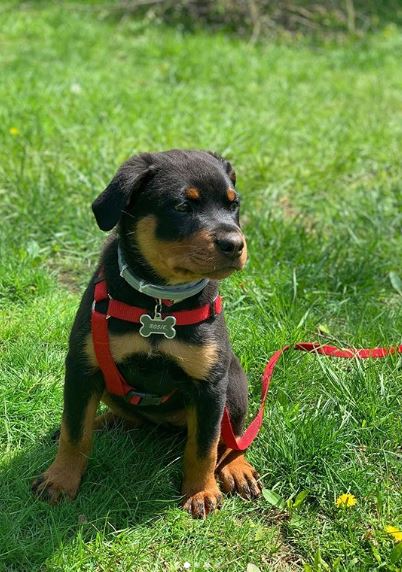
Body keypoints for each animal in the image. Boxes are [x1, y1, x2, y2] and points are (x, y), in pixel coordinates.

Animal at [33, 150, 262, 516]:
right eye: (182, 206)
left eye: (234, 204)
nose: (235, 244)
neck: (159, 301)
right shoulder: (83, 367)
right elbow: (74, 430)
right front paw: (60, 479)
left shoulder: (209, 384)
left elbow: (205, 445)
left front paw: (201, 491)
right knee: (120, 416)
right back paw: (104, 421)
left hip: (234, 382)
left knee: (232, 435)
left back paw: (236, 468)